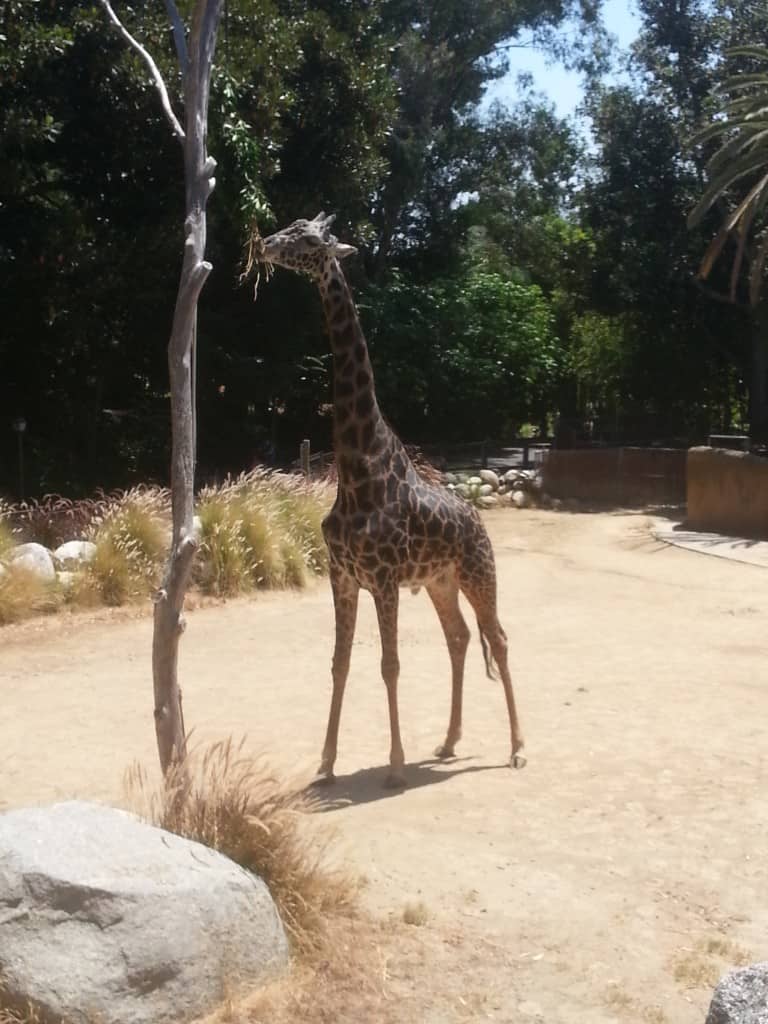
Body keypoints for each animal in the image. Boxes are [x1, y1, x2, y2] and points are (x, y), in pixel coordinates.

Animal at [262, 211, 528, 786]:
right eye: (292, 225)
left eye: (309, 238)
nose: (266, 244)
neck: (356, 468)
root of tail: (478, 518)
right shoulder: (342, 577)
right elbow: (339, 663)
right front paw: (327, 762)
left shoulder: (382, 579)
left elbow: (389, 665)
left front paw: (396, 765)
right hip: (441, 581)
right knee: (460, 638)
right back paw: (449, 742)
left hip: (479, 572)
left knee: (498, 638)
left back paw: (518, 747)